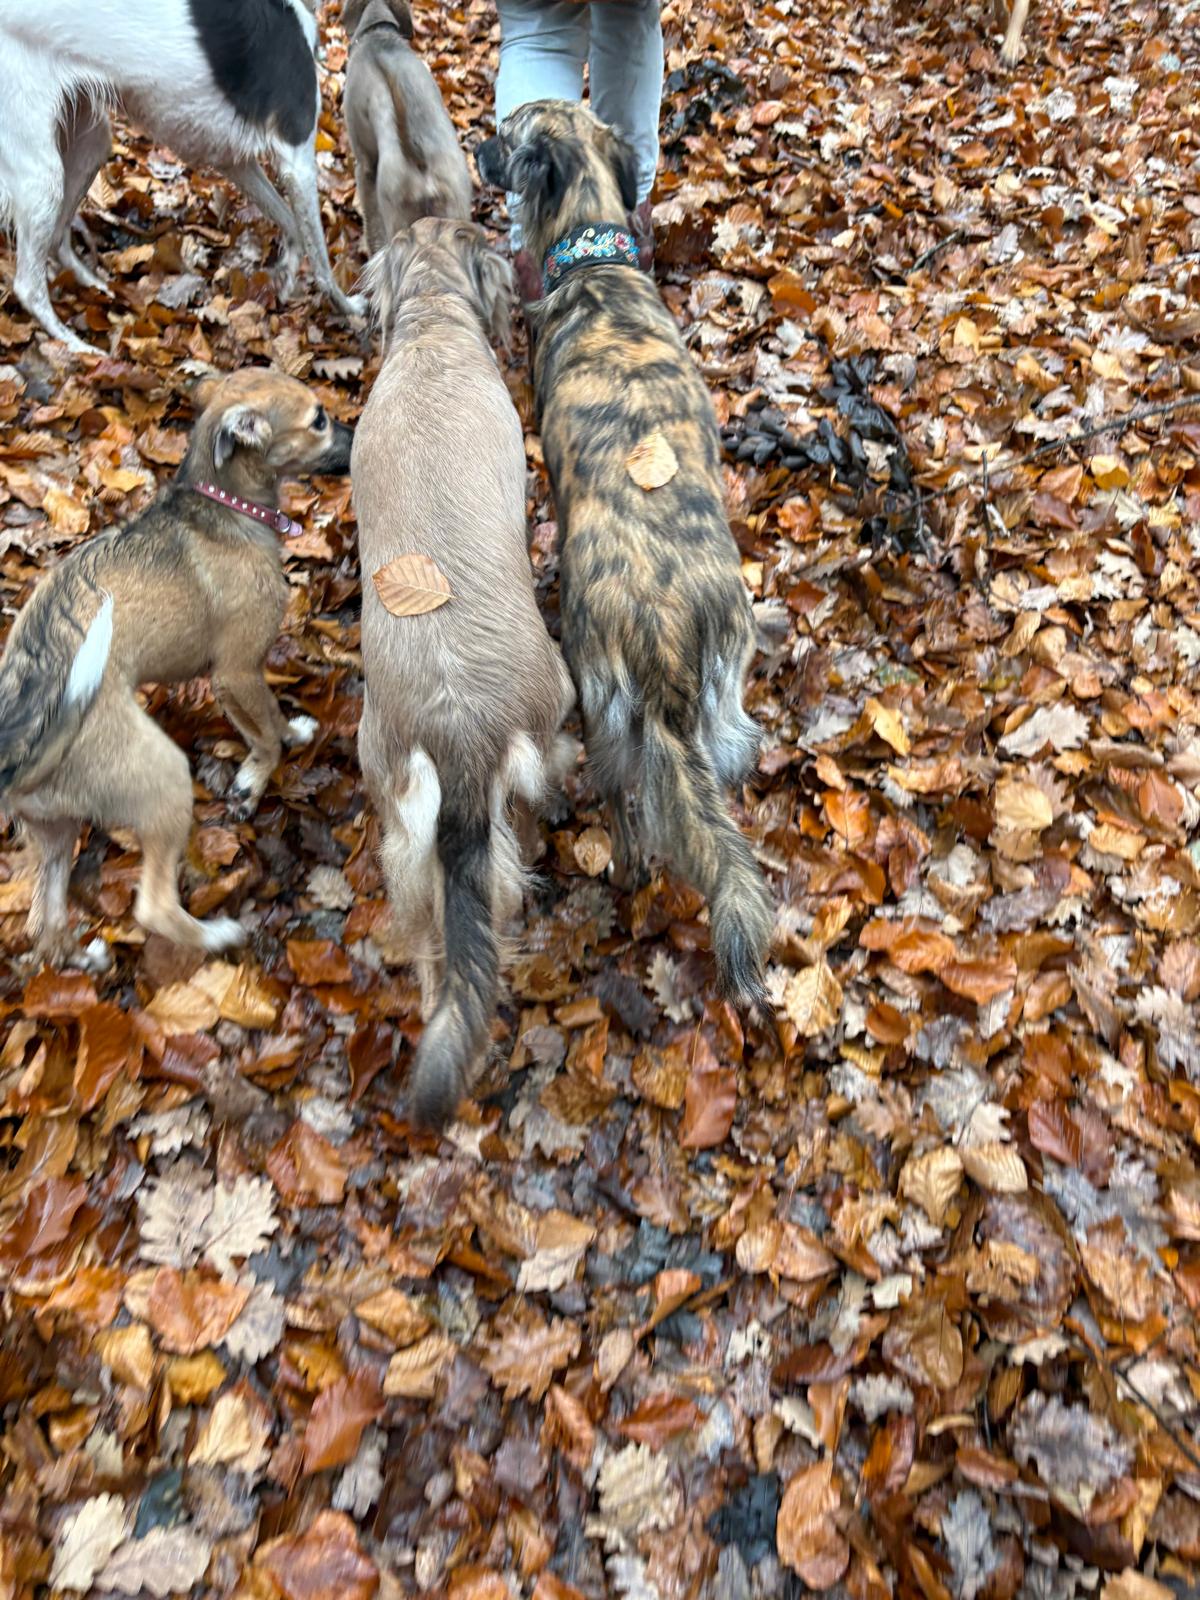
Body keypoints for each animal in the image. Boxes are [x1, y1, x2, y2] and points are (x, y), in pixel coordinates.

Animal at [0, 0, 365, 353]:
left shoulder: (237, 163)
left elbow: (293, 226)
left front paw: (286, 276)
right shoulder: (297, 160)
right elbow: (321, 259)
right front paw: (349, 308)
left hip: (87, 142)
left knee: (57, 239)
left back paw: (96, 286)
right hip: (44, 176)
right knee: (28, 286)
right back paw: (76, 345)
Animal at [0, 368, 352, 961]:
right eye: (319, 419)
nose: (361, 432)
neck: (226, 503)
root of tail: (22, 754)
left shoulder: (234, 680)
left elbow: (269, 721)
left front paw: (292, 736)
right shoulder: (236, 670)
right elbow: (266, 732)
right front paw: (253, 782)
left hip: (53, 831)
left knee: (46, 921)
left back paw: (82, 956)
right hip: (162, 776)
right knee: (154, 907)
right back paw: (218, 934)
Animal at [477, 101, 775, 1022]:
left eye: (509, 131)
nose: (477, 143)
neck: (596, 264)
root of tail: (665, 627)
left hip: (602, 704)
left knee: (627, 803)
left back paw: (628, 864)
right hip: (723, 708)